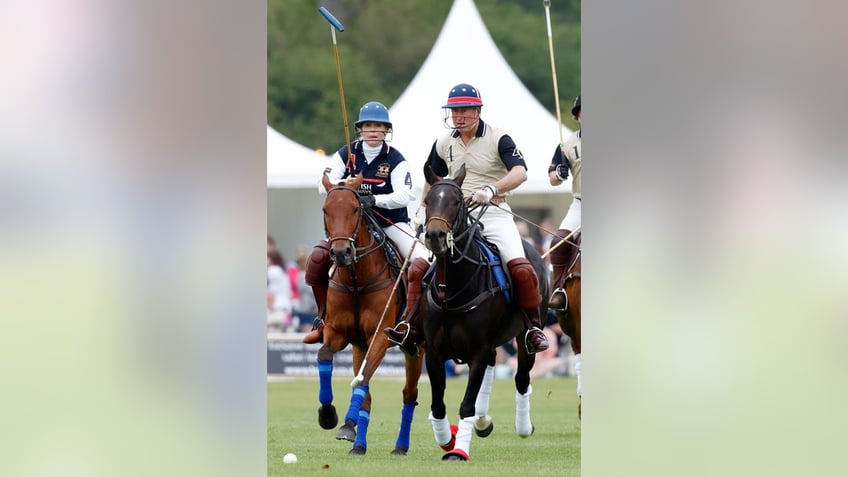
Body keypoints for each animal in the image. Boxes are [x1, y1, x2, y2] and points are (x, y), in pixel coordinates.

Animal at [314, 173, 424, 456]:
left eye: (355, 208)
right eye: (325, 209)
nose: (341, 253)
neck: (356, 280)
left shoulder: (381, 336)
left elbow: (362, 382)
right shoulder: (338, 333)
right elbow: (325, 355)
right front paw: (329, 416)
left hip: (416, 347)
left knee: (409, 394)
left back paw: (400, 446)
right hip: (359, 346)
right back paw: (356, 437)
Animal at [420, 162, 548, 460]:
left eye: (457, 201)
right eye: (427, 200)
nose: (435, 236)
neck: (453, 288)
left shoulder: (477, 349)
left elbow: (466, 404)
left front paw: (458, 451)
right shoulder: (434, 352)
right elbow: (438, 405)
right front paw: (446, 439)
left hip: (525, 335)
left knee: (522, 378)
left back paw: (523, 427)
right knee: (493, 367)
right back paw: (483, 421)